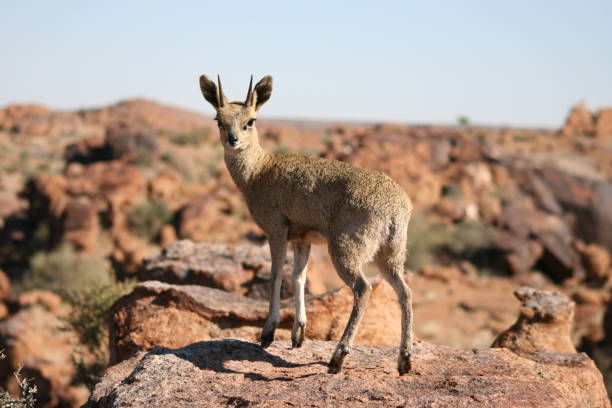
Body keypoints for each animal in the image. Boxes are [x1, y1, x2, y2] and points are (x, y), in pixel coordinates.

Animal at [198, 75, 414, 374]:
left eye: (251, 120)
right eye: (218, 119)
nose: (233, 140)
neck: (258, 172)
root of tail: (397, 207)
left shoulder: (276, 229)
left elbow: (277, 273)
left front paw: (268, 332)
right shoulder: (302, 238)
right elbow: (298, 276)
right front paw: (297, 333)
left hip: (345, 250)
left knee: (363, 289)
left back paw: (338, 357)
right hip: (391, 255)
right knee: (405, 292)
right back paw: (404, 360)